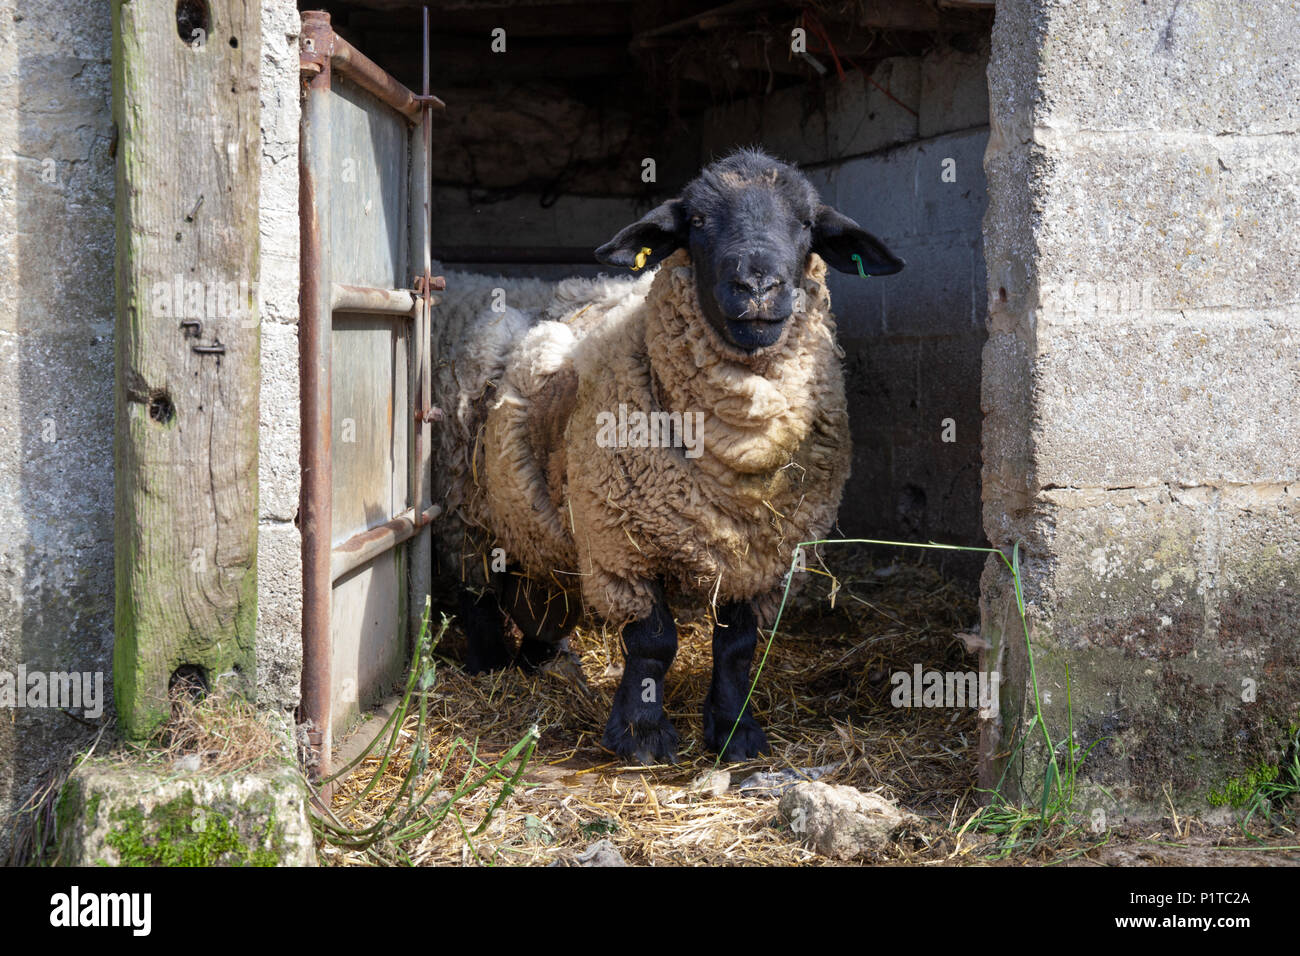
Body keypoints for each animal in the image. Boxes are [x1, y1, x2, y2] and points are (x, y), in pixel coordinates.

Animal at [431, 147, 899, 764]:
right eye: (696, 221)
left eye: (805, 224)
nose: (756, 284)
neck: (739, 446)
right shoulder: (620, 544)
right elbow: (653, 643)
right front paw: (642, 736)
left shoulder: (760, 558)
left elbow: (736, 648)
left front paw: (735, 733)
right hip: (465, 511)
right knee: (479, 594)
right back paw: (489, 667)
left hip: (529, 519)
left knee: (537, 590)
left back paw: (545, 661)